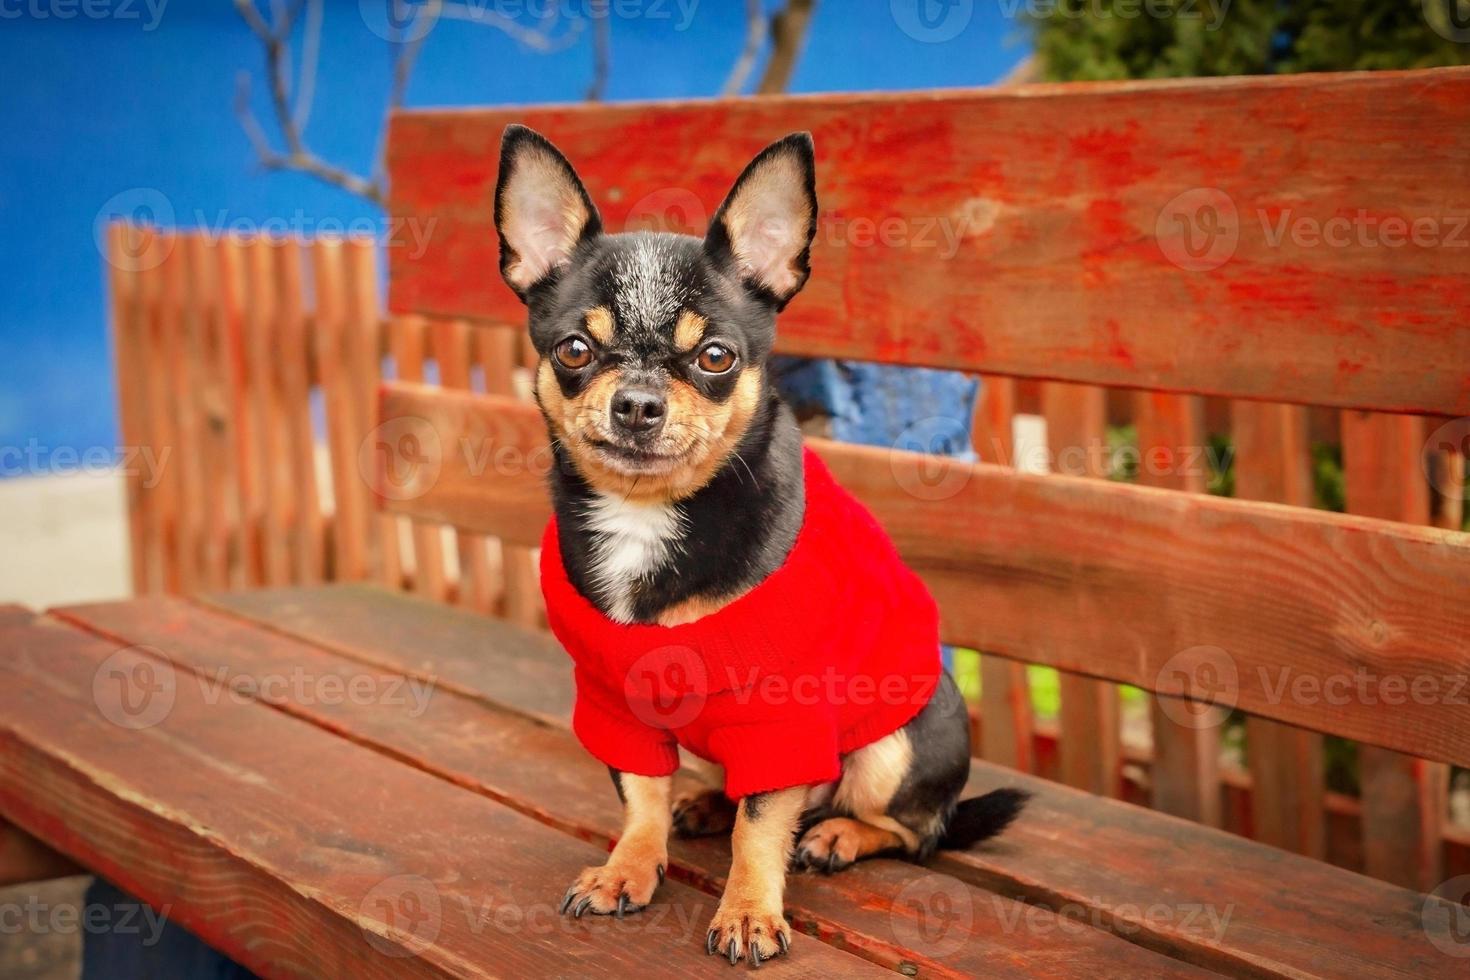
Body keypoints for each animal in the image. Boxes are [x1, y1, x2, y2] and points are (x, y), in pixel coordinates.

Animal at [493, 122, 1023, 963]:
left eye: (716, 357)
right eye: (574, 349)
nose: (637, 403)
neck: (651, 512)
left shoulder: (782, 715)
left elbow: (763, 826)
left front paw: (747, 912)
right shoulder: (618, 705)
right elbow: (640, 797)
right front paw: (627, 869)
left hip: (892, 749)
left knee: (909, 830)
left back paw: (838, 834)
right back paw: (710, 800)